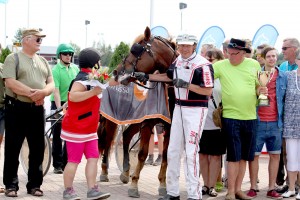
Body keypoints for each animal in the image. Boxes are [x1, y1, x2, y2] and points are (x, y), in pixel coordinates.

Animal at [98, 27, 178, 198]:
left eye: (135, 50)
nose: (117, 72)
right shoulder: (147, 124)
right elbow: (142, 153)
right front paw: (134, 185)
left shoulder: (170, 127)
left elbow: (166, 155)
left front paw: (163, 185)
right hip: (113, 119)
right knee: (107, 142)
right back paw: (104, 171)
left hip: (135, 120)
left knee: (127, 135)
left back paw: (125, 172)